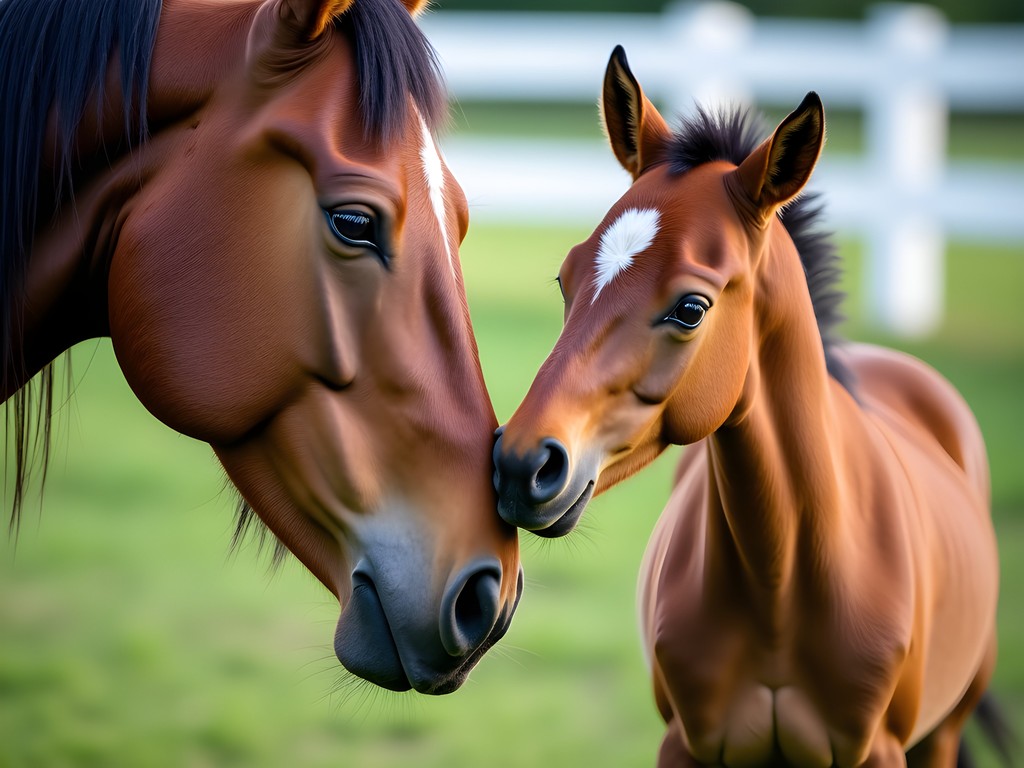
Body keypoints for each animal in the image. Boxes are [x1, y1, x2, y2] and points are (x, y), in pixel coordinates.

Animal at [493, 46, 1005, 765]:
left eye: (691, 308)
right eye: (566, 280)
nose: (520, 465)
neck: (780, 585)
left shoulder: (879, 750)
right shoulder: (686, 744)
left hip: (945, 729)